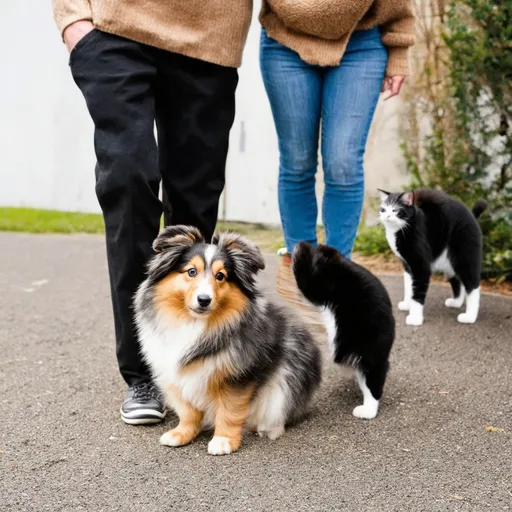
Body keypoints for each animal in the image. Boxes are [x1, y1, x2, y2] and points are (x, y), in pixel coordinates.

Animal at [134, 226, 322, 454]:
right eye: (191, 271)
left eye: (220, 276)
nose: (204, 300)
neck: (195, 323)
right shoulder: (175, 371)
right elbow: (187, 410)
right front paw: (181, 433)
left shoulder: (237, 375)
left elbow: (230, 411)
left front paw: (224, 440)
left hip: (290, 373)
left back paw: (267, 428)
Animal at [380, 187, 484, 324]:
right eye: (383, 209)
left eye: (395, 210)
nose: (386, 216)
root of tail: (472, 215)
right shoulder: (407, 266)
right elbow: (409, 287)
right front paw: (407, 304)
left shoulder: (420, 266)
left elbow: (417, 292)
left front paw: (415, 318)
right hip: (449, 262)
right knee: (457, 280)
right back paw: (456, 302)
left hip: (464, 257)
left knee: (473, 285)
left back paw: (470, 316)